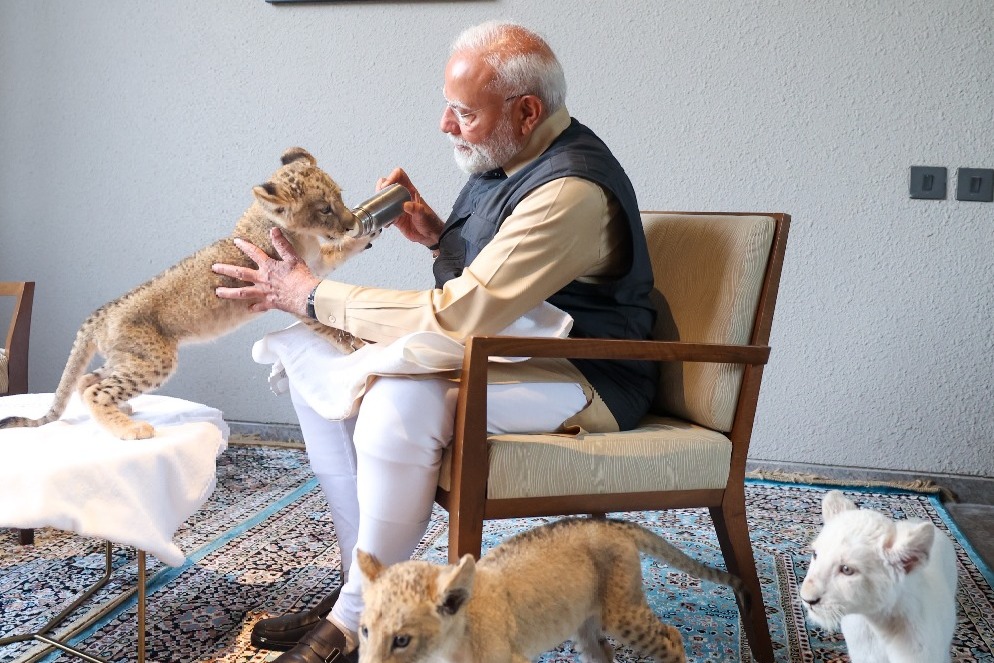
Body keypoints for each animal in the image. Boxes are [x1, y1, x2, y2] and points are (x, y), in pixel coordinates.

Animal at [0, 147, 371, 440]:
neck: (297, 233)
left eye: (340, 195)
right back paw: (130, 430)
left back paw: (124, 413)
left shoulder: (312, 267)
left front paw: (365, 234)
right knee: (97, 390)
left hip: (130, 357)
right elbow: (319, 320)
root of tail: (101, 313)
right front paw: (351, 343)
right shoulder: (284, 286)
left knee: (87, 380)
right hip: (154, 358)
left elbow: (335, 258)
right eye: (324, 208)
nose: (351, 221)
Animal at [356, 516, 751, 663]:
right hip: (585, 626)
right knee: (603, 652)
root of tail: (612, 524)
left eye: (401, 640)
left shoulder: (512, 660)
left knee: (672, 637)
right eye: (364, 632)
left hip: (623, 614)